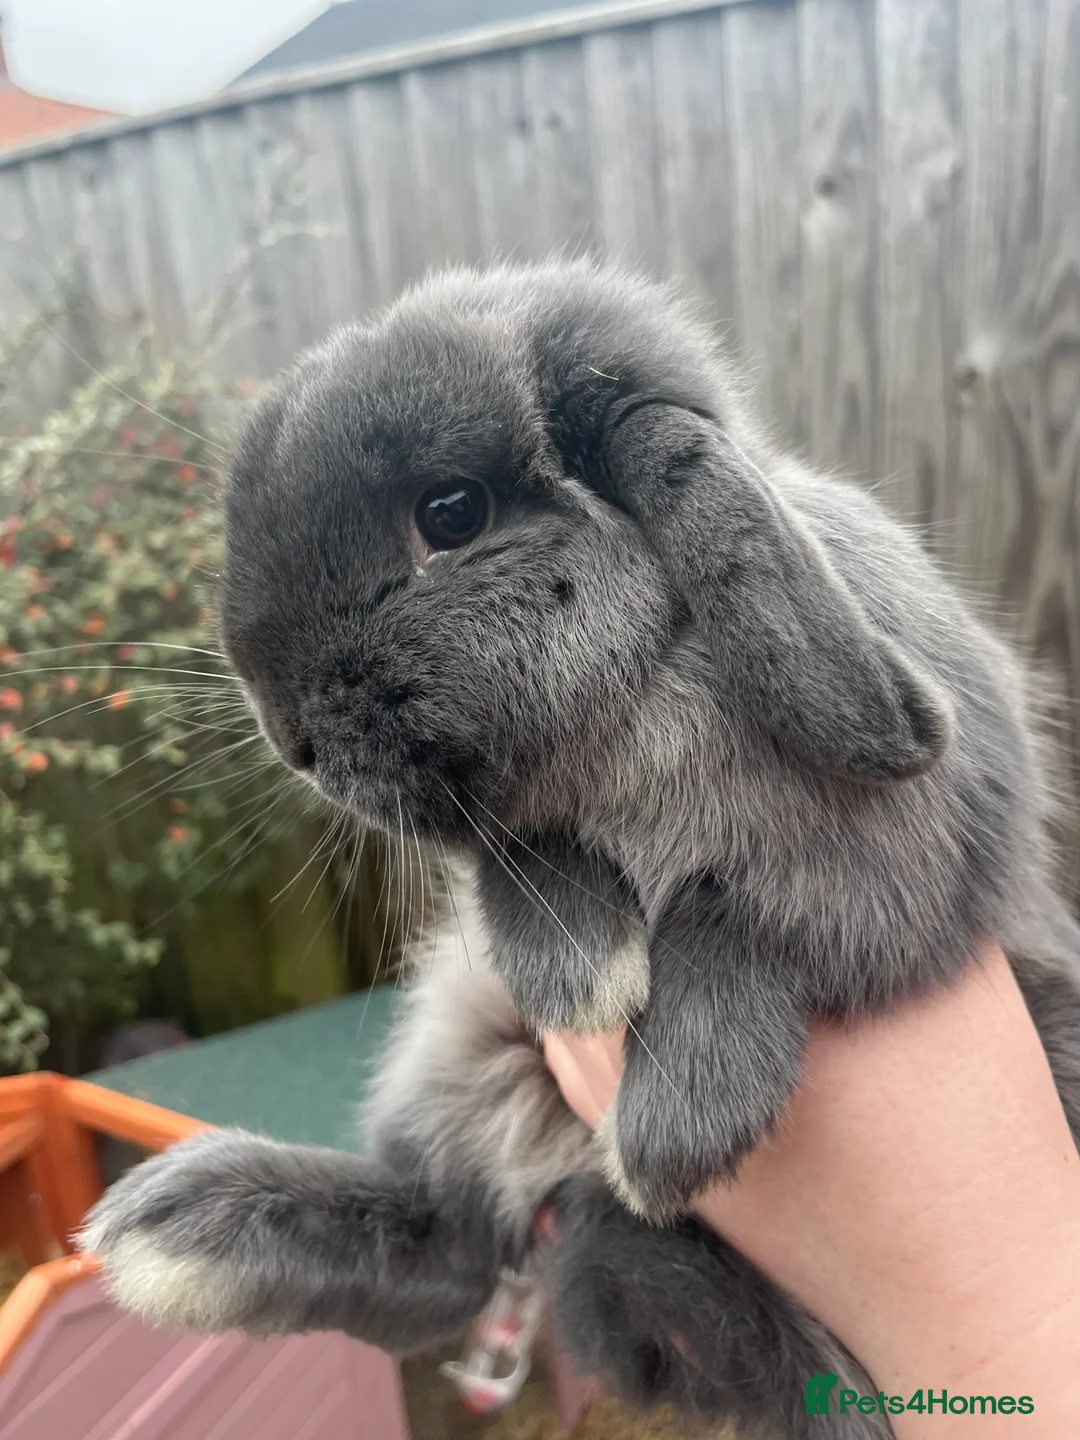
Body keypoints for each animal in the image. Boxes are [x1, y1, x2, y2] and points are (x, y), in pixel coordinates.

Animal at [80, 258, 1080, 1439]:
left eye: (450, 512)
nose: (293, 738)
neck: (644, 694)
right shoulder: (511, 851)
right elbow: (523, 859)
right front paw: (584, 973)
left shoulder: (910, 876)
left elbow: (730, 921)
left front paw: (668, 1134)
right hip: (461, 1052)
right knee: (453, 1249)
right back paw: (183, 1232)